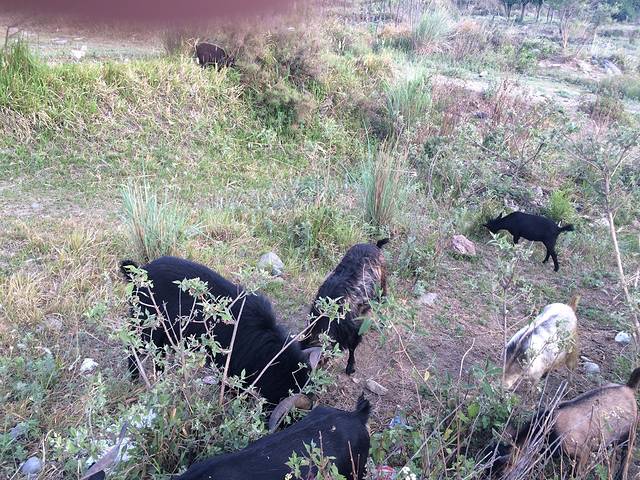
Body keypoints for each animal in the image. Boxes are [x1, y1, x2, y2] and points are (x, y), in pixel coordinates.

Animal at [489, 368, 640, 478]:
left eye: (501, 473)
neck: (545, 430)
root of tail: (628, 388)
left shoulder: (581, 449)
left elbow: (575, 473)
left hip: (630, 433)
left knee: (628, 454)